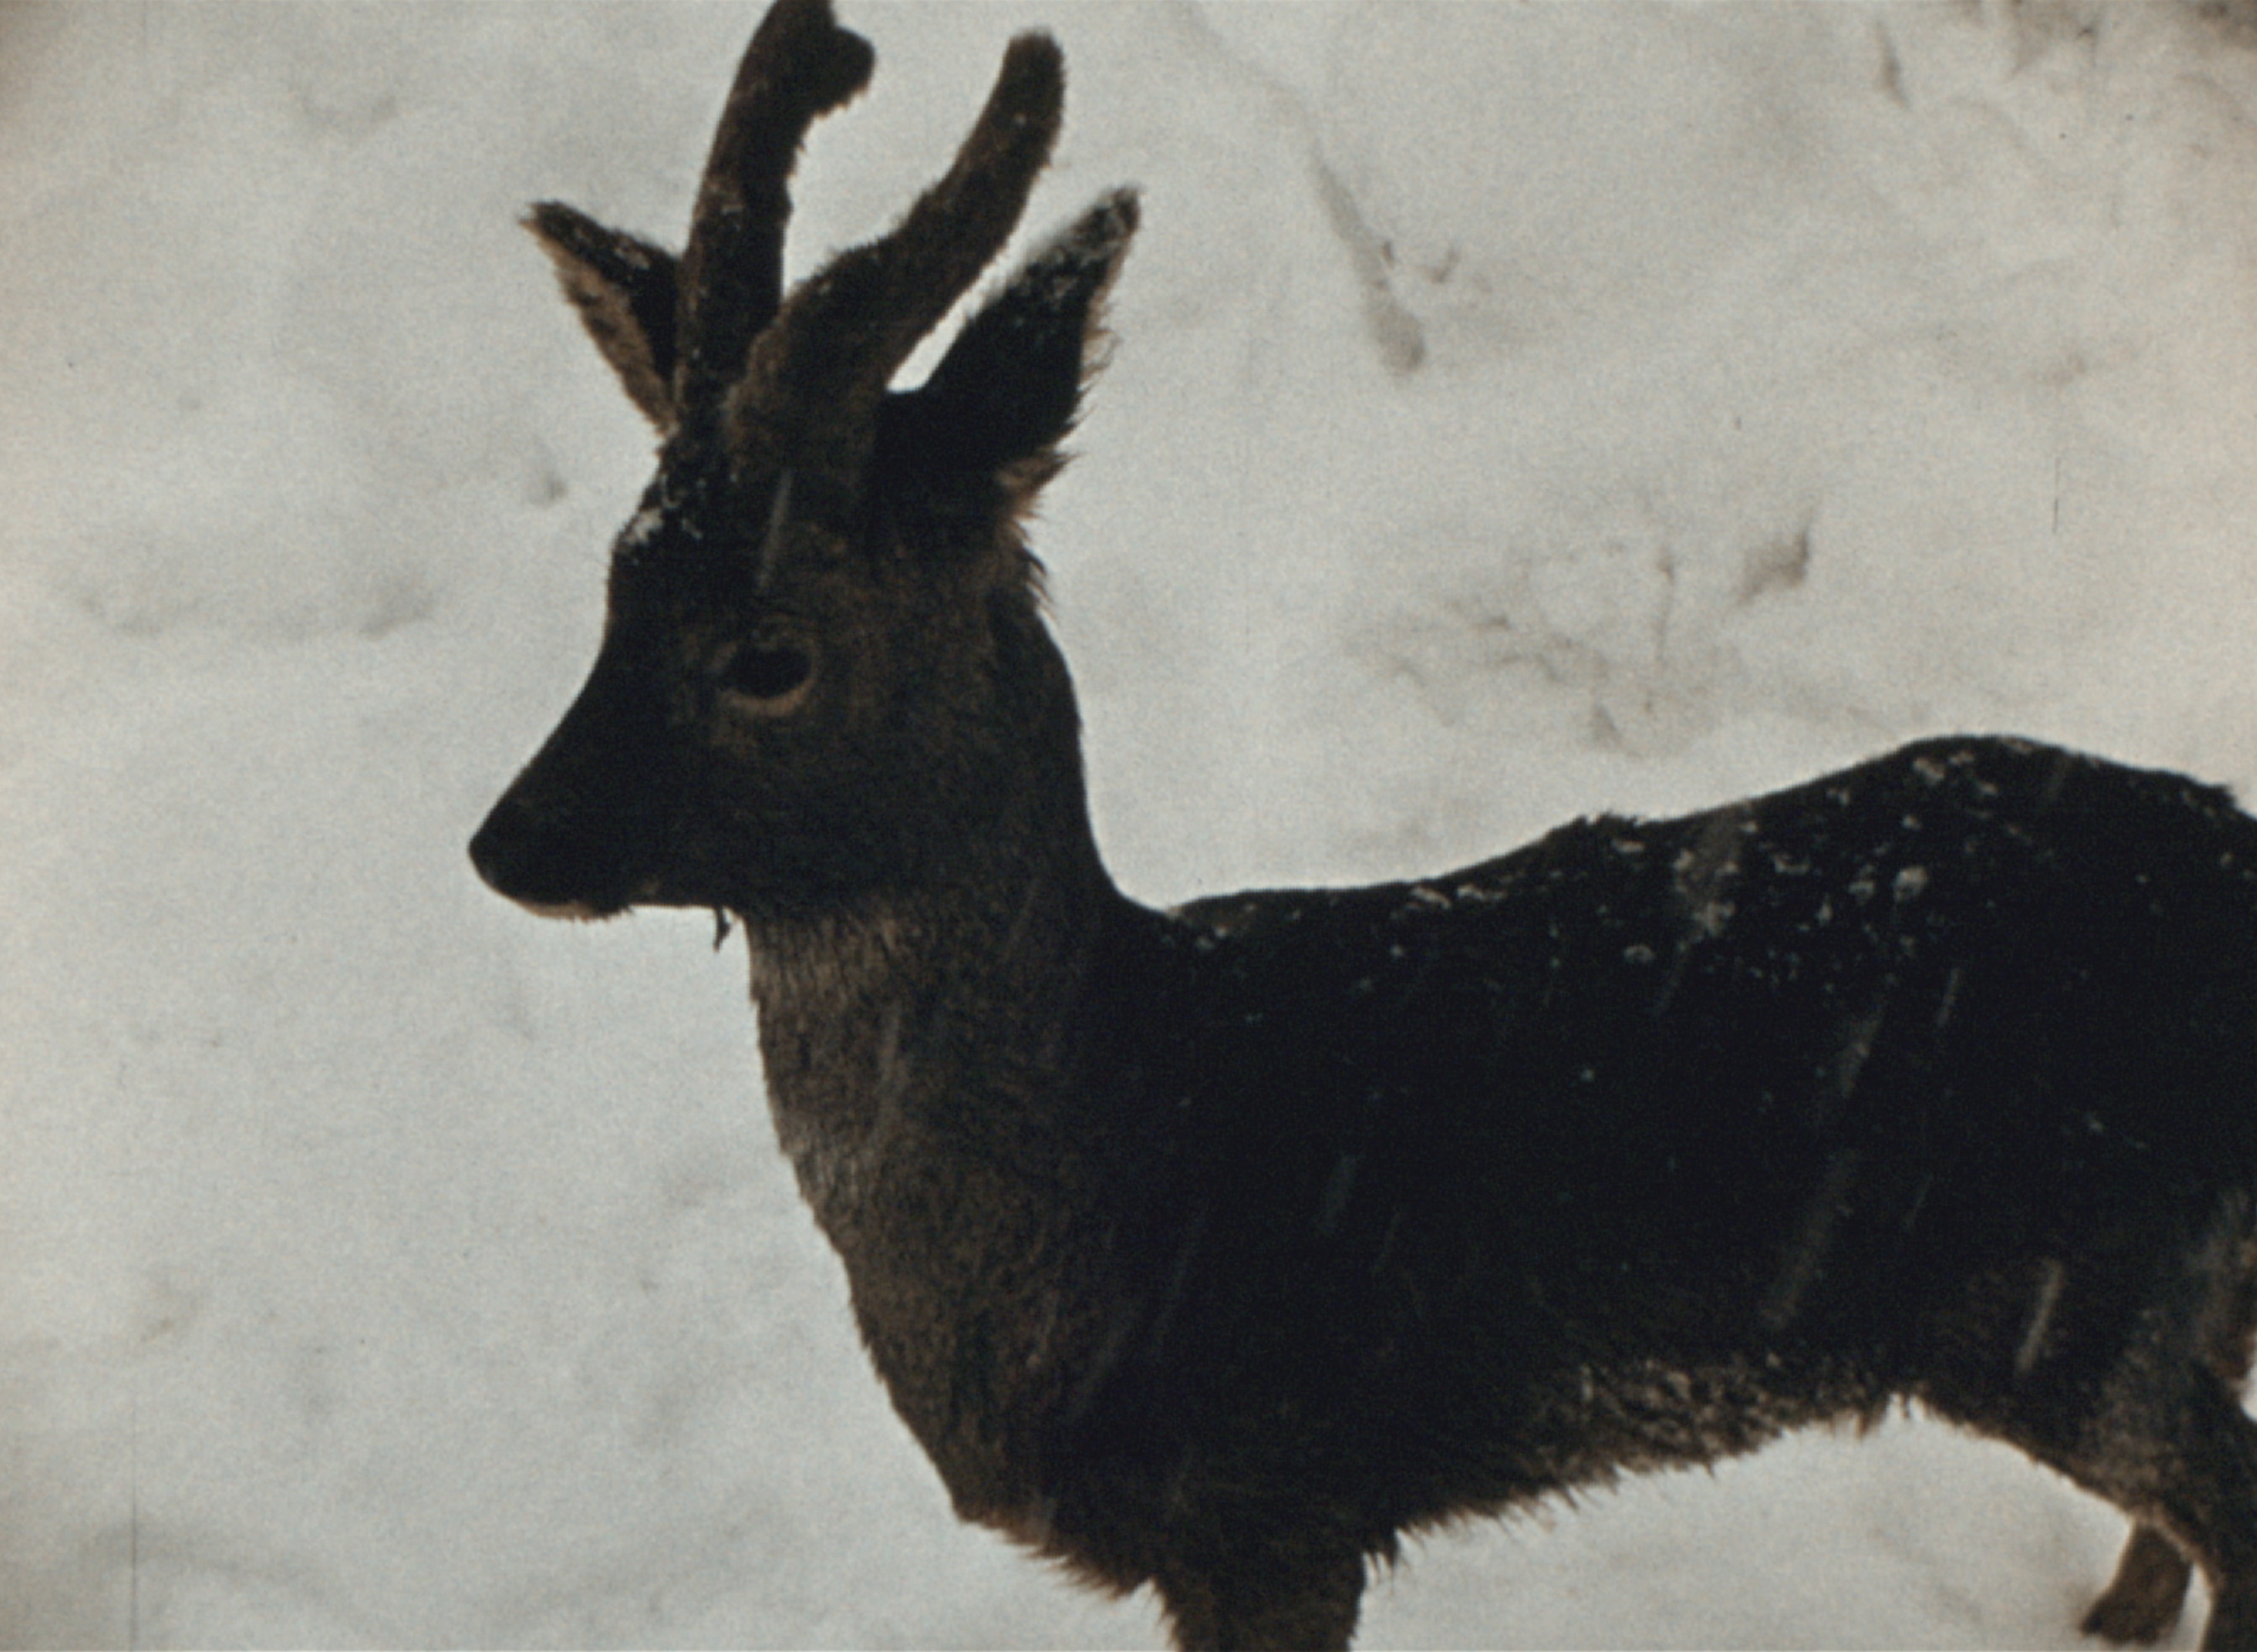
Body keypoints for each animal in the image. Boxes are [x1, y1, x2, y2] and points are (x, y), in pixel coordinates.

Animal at [476, 6, 2257, 1643]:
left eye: (768, 652)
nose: (510, 841)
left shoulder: (1270, 1502)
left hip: (2076, 1296)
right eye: (618, 585)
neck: (1120, 1150)